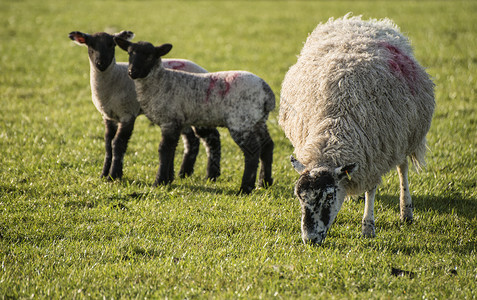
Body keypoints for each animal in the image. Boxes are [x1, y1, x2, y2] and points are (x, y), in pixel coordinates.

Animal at [68, 30, 220, 180]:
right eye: (91, 46)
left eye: (111, 45)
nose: (101, 63)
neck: (114, 78)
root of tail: (203, 70)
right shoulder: (108, 116)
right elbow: (107, 143)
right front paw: (104, 174)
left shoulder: (128, 114)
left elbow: (118, 143)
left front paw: (114, 175)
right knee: (192, 140)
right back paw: (184, 173)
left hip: (200, 110)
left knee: (212, 137)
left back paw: (211, 175)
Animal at [114, 37, 276, 195]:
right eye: (130, 53)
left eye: (149, 56)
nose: (132, 72)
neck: (160, 81)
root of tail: (266, 91)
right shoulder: (176, 122)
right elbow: (172, 149)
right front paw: (168, 180)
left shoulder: (169, 120)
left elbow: (164, 149)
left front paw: (159, 182)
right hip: (258, 121)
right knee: (267, 146)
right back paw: (264, 183)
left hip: (241, 121)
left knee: (252, 151)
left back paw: (245, 188)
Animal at [278, 15, 436, 245]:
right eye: (299, 197)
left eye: (329, 196)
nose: (310, 239)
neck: (334, 129)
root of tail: (362, 22)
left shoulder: (375, 155)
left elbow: (372, 190)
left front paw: (368, 228)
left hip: (402, 137)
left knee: (402, 168)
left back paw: (406, 211)